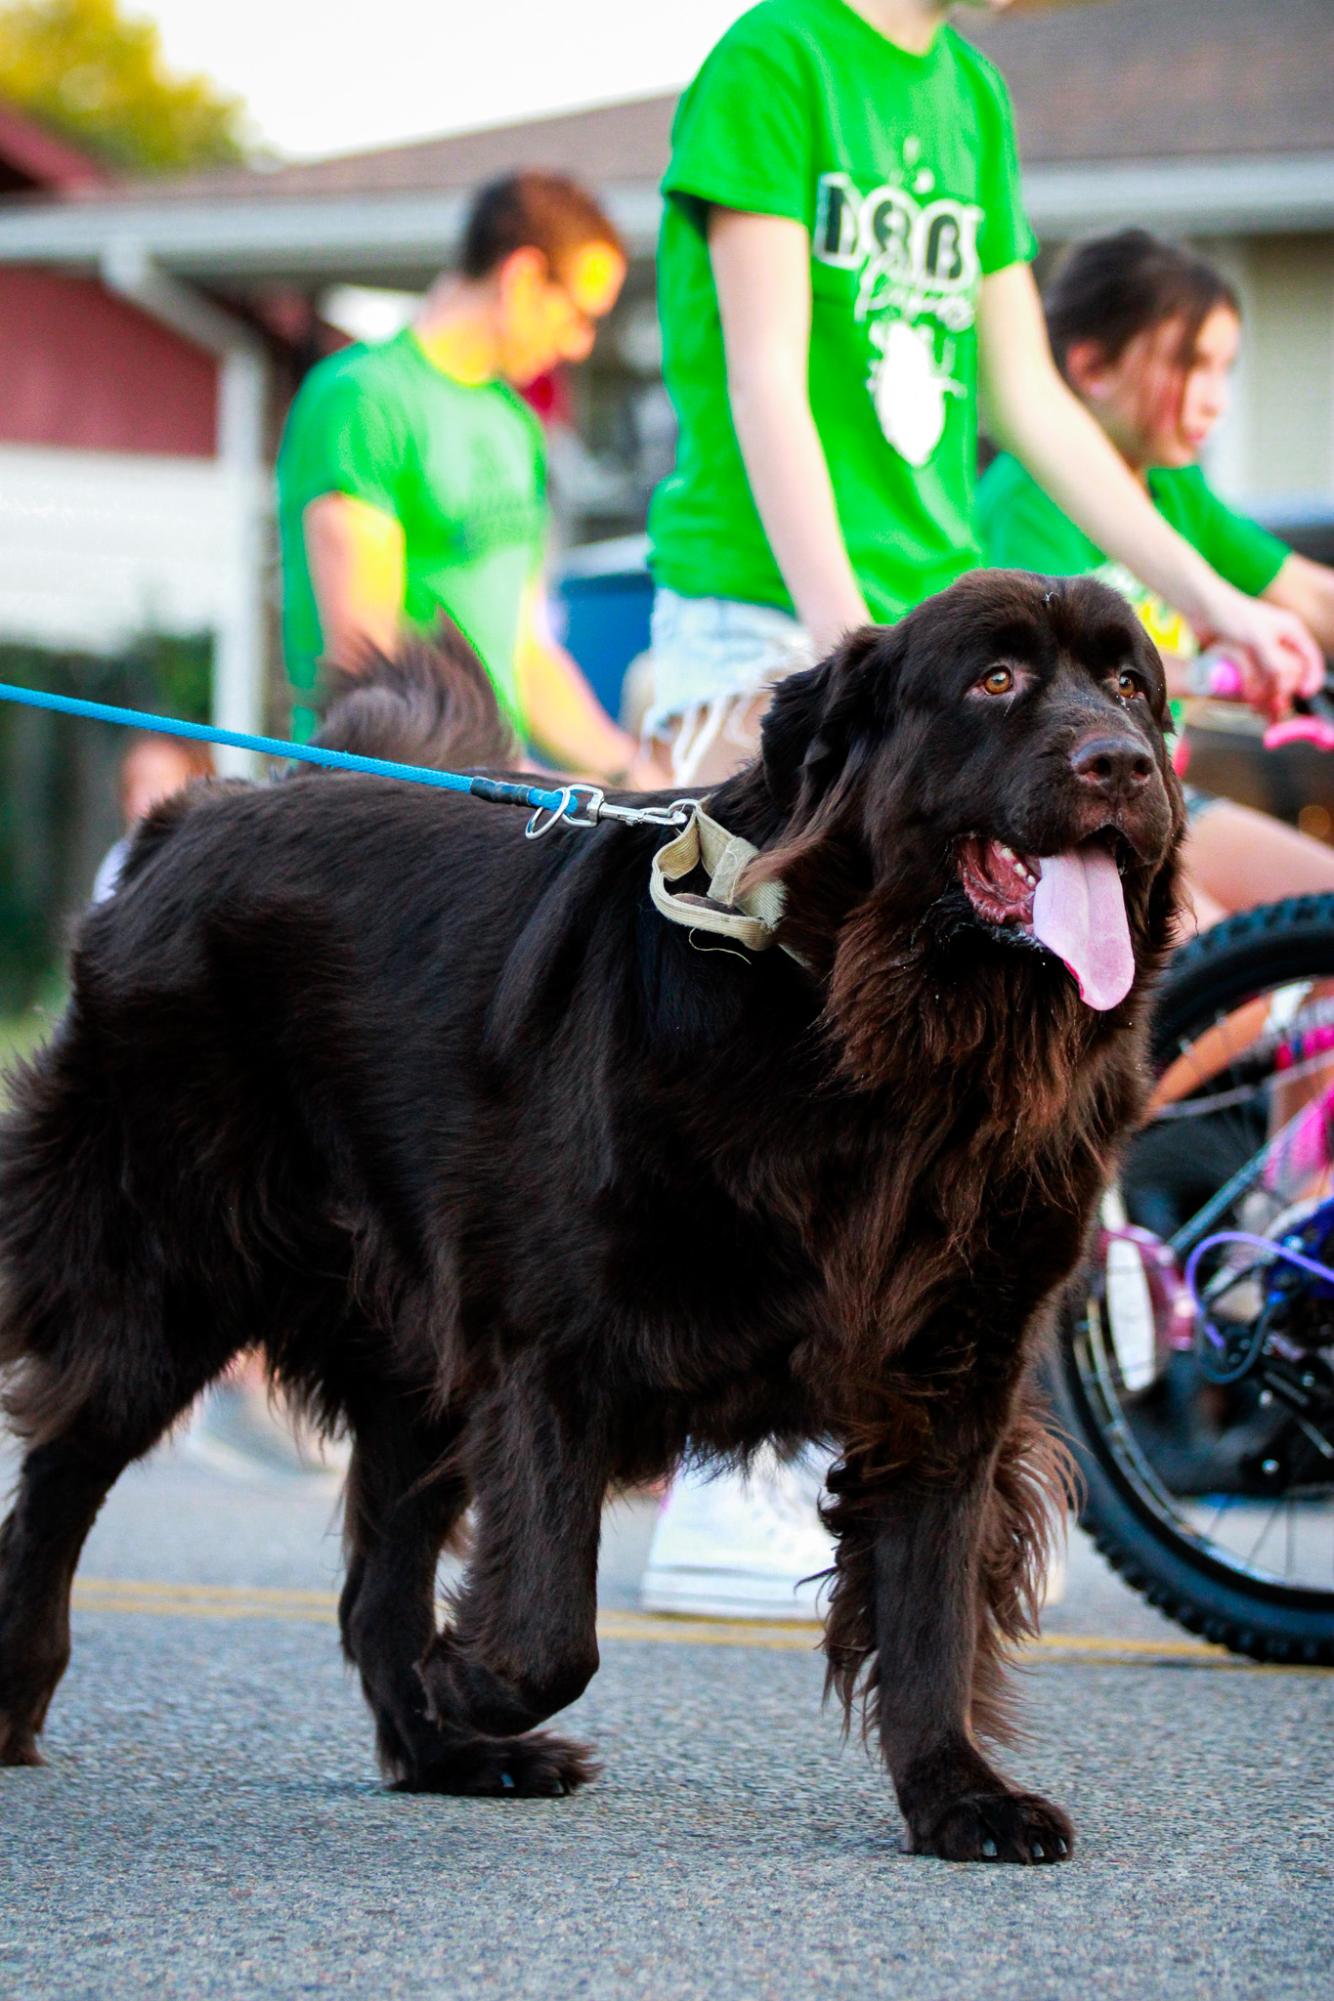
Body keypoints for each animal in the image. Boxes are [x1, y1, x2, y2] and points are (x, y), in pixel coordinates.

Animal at [5, 576, 1184, 1856]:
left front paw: (956, 1795)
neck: (880, 1036)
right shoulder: (550, 1345)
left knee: (374, 1582)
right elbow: (549, 1631)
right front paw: (469, 1676)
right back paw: (25, 1694)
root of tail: (192, 819)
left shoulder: (953, 1369)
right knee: (66, 1471)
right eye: (994, 682)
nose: (1121, 763)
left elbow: (930, 1603)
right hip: (167, 1269)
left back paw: (448, 1755)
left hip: (408, 1349)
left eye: (1131, 687)